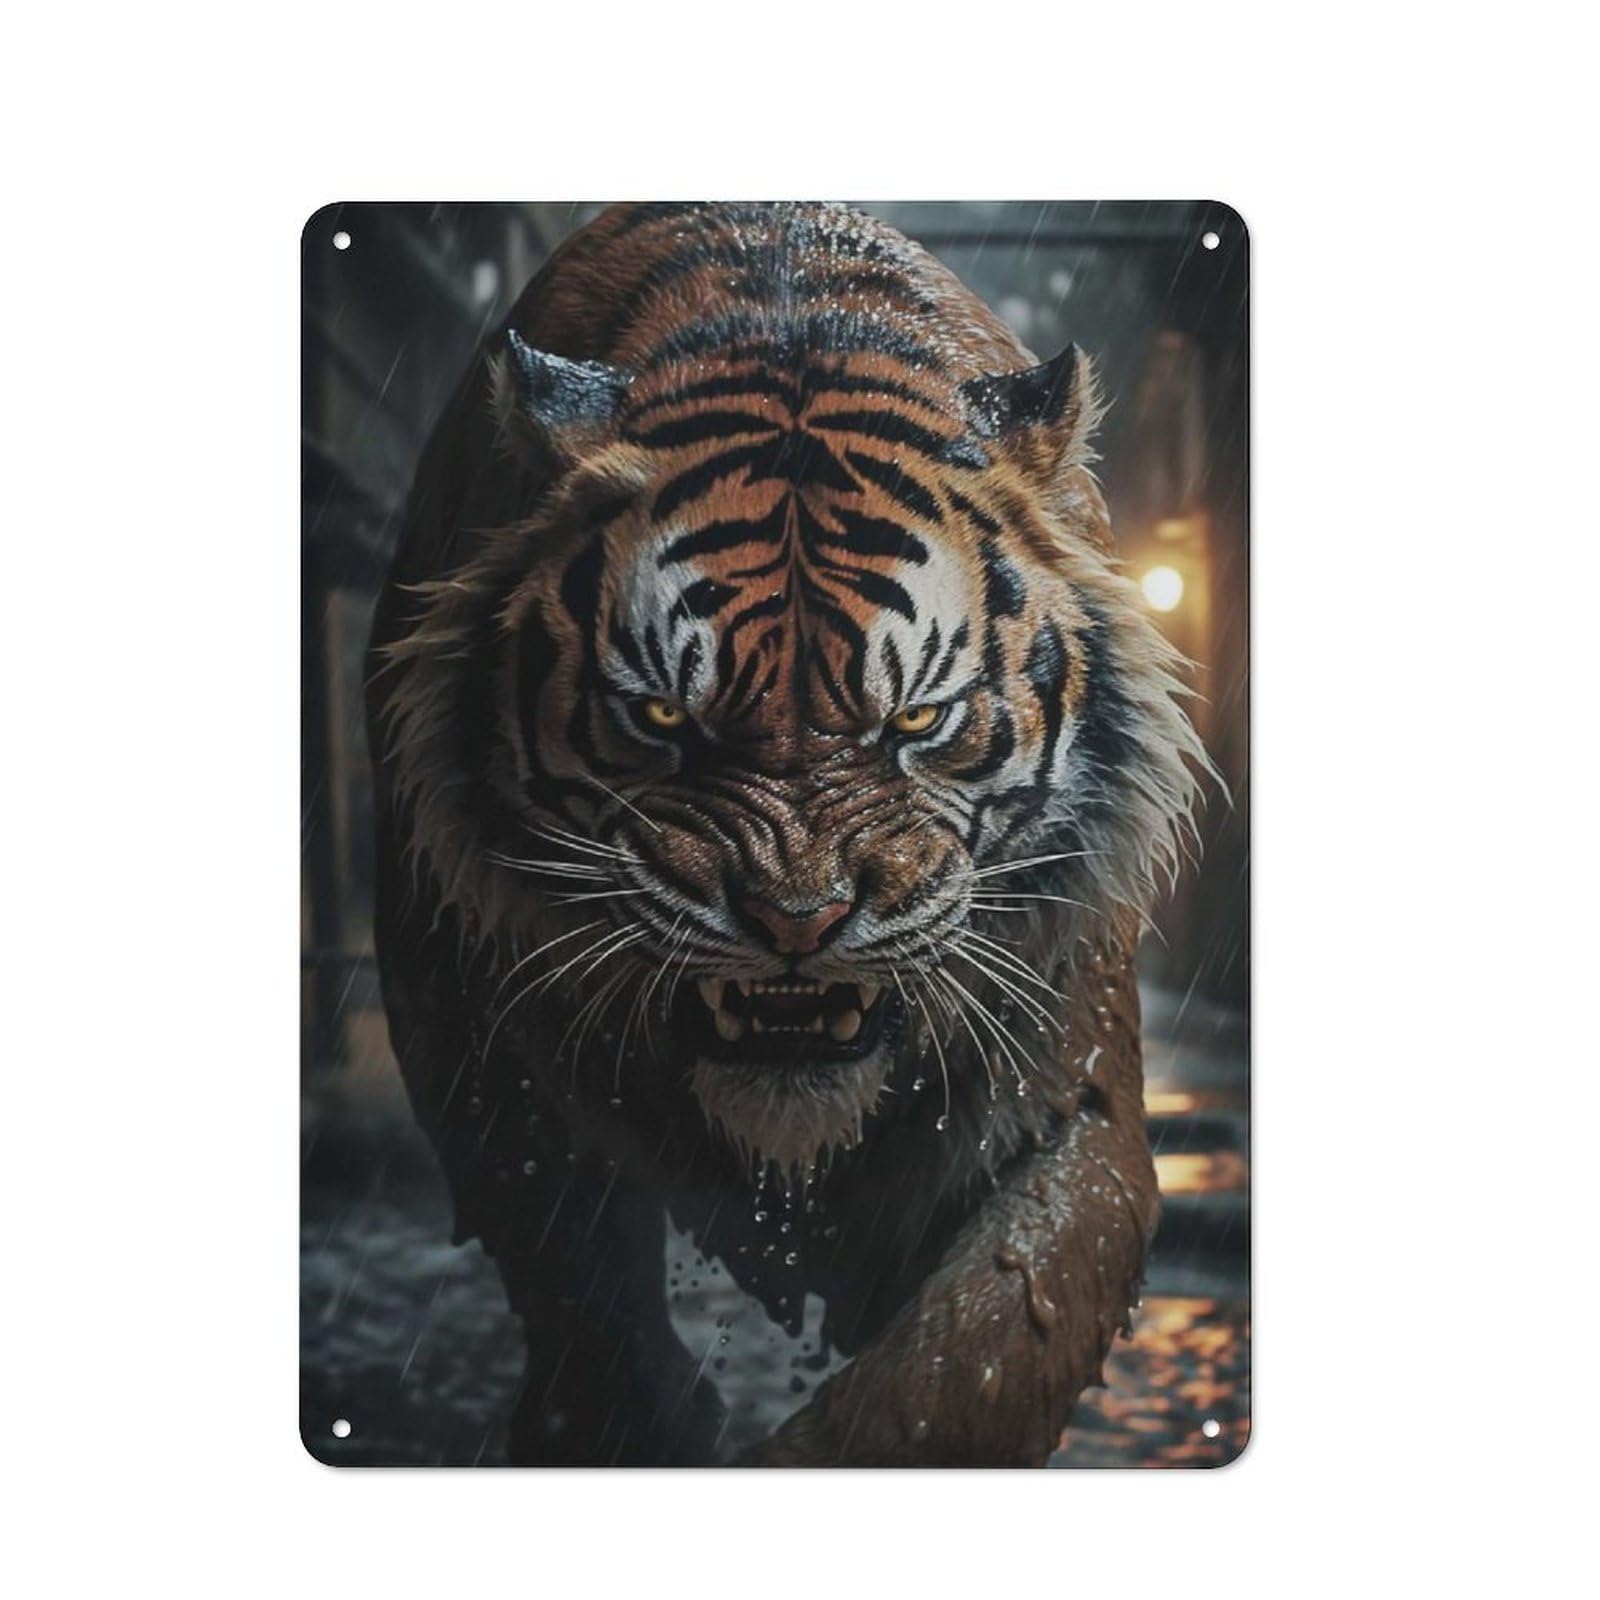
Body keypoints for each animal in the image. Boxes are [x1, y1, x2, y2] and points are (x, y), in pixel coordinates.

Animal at [366, 201, 1212, 1465]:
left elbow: (955, 1366)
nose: (798, 923)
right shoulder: (463, 1031)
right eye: (665, 716)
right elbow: (583, 1293)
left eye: (915, 719)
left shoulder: (1073, 1097)